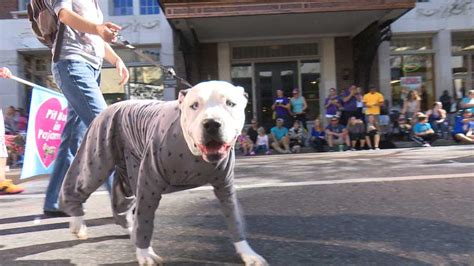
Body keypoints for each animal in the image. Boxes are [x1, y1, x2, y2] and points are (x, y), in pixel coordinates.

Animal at [57, 81, 268, 266]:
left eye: (230, 103)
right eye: (194, 105)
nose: (212, 123)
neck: (194, 154)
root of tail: (114, 104)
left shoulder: (225, 188)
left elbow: (235, 219)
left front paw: (247, 253)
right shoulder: (149, 185)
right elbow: (145, 221)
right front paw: (145, 253)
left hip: (130, 171)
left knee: (122, 197)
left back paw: (128, 225)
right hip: (97, 157)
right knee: (78, 183)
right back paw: (77, 221)